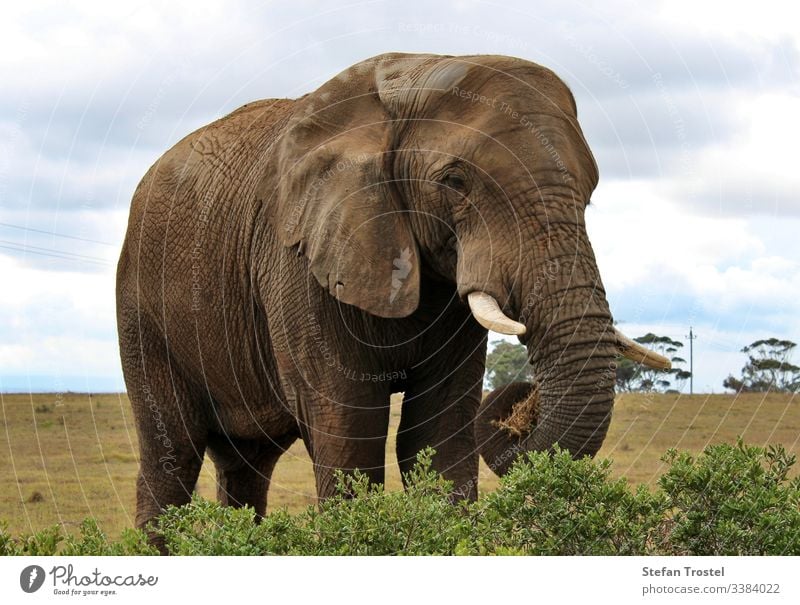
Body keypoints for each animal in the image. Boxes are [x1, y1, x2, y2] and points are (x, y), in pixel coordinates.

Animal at [115, 52, 664, 536]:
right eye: (455, 181)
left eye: (589, 191)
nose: (519, 411)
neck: (411, 78)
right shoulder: (301, 261)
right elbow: (349, 431)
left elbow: (438, 432)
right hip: (140, 304)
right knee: (172, 454)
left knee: (247, 464)